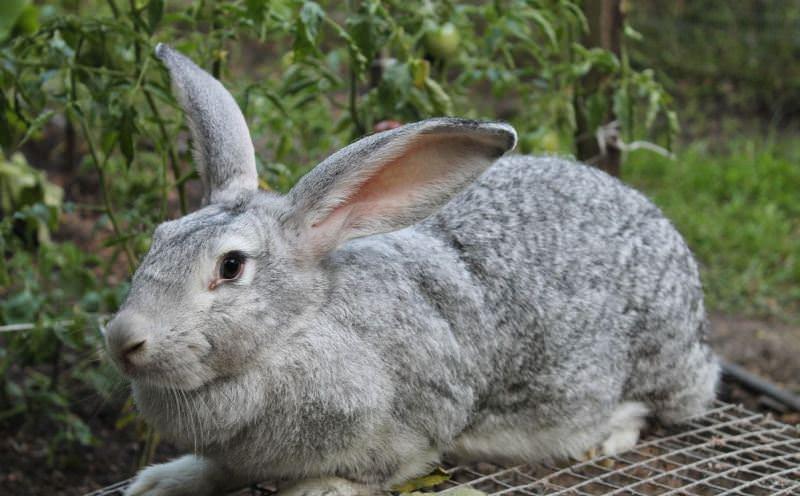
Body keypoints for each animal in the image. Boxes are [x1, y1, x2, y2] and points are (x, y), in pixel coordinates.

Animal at [104, 44, 719, 496]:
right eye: (158, 238)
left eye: (231, 266)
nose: (123, 339)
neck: (294, 331)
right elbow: (220, 469)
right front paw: (161, 483)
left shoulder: (418, 423)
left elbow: (375, 472)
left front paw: (317, 488)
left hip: (657, 359)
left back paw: (606, 436)